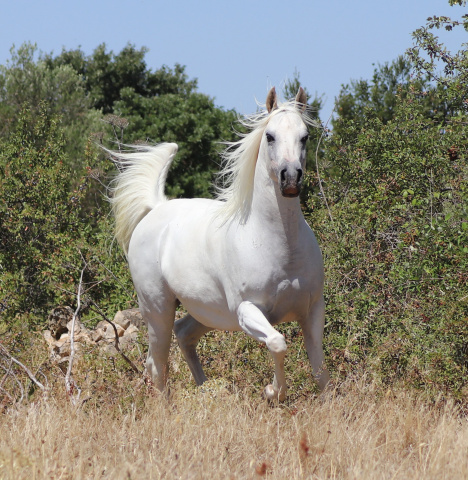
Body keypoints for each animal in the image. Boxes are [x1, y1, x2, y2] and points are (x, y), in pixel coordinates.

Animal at [109, 87, 330, 402]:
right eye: (270, 136)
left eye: (305, 136)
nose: (290, 178)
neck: (280, 246)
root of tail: (157, 208)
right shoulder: (247, 310)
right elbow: (278, 342)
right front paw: (272, 391)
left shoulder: (312, 309)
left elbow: (320, 369)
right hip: (157, 309)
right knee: (157, 363)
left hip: (205, 310)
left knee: (183, 334)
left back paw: (205, 388)